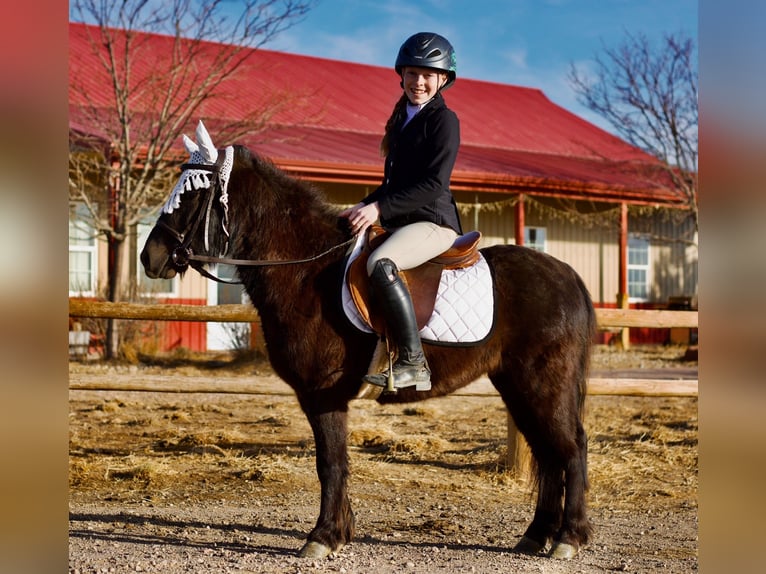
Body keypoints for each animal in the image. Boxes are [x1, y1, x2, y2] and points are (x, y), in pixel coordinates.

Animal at [141, 121, 596, 560]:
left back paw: (568, 539)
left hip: (542, 384)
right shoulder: (322, 397)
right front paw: (340, 532)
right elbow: (336, 463)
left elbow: (330, 463)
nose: (150, 258)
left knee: (571, 447)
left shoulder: (322, 394)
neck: (307, 271)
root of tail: (568, 275)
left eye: (194, 195)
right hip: (518, 385)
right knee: (548, 452)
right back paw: (536, 536)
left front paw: (323, 537)